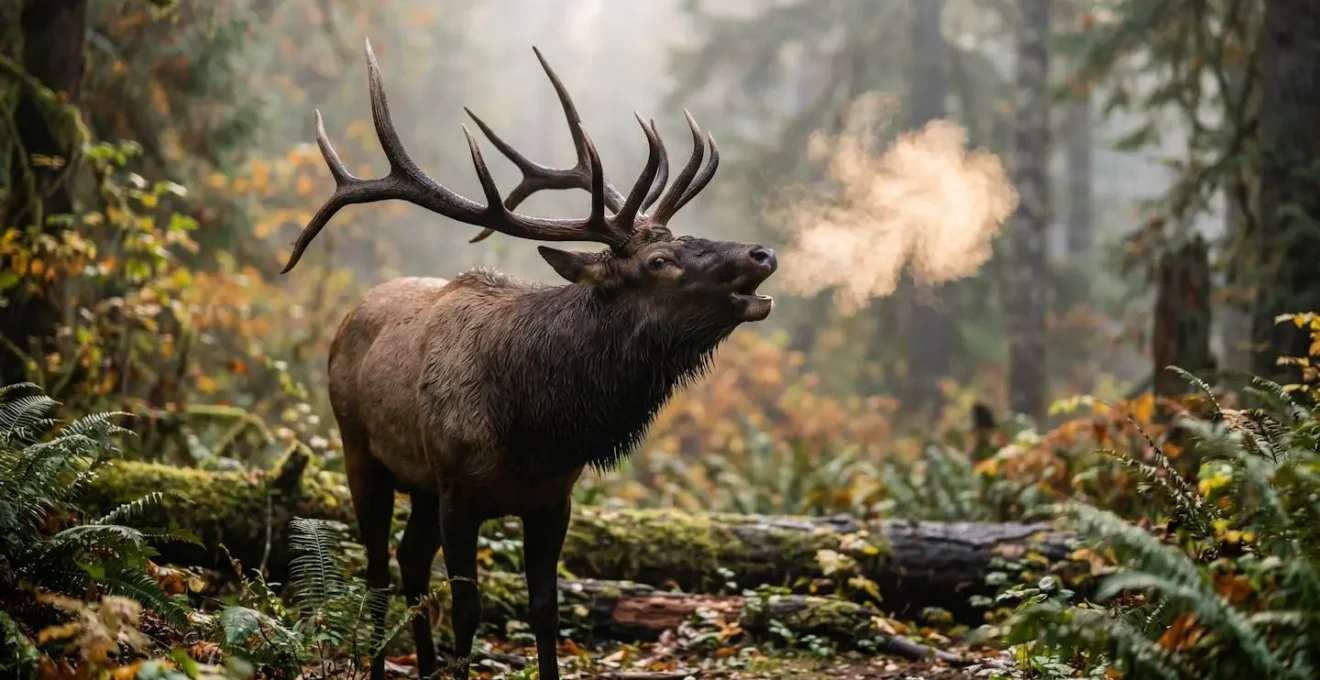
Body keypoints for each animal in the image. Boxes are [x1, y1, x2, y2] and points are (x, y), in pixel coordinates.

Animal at [280, 39, 778, 680]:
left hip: (420, 483)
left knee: (409, 562)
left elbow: (545, 608)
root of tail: (347, 319)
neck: (535, 426)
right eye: (660, 260)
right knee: (377, 569)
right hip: (358, 451)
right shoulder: (460, 495)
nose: (762, 254)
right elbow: (467, 608)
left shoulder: (553, 499)